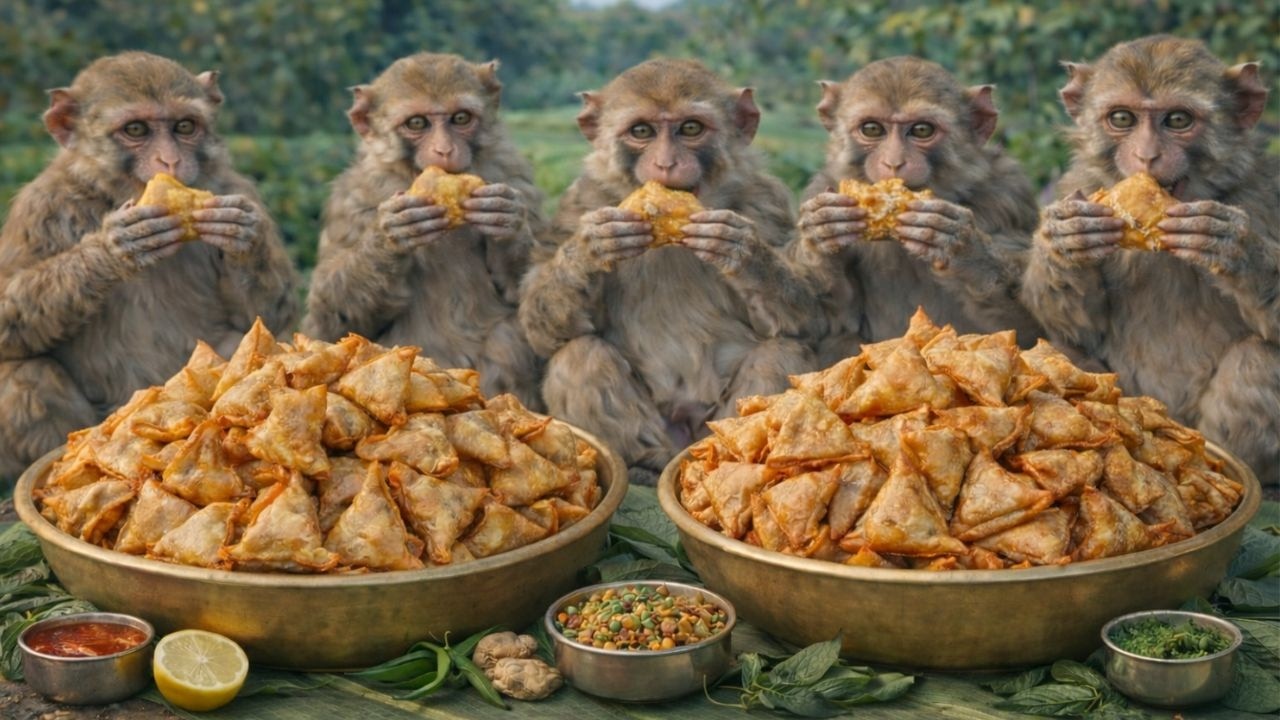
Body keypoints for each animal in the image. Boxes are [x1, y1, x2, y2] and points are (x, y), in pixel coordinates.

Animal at [0, 51, 299, 484]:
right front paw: (114, 248)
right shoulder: (43, 207)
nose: (169, 160)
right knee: (26, 374)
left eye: (184, 126)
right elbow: (7, 319)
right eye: (136, 129)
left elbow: (271, 316)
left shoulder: (239, 189)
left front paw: (244, 236)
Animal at [301, 53, 546, 410]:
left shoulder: (517, 181)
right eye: (417, 123)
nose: (444, 150)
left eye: (460, 118)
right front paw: (391, 236)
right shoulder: (354, 200)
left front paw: (507, 224)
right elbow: (327, 322)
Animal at [518, 58, 823, 485]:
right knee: (579, 355)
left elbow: (807, 319)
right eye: (642, 131)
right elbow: (541, 328)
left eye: (690, 128)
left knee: (782, 354)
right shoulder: (581, 201)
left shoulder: (766, 202)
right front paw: (591, 247)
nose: (666, 163)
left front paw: (741, 250)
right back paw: (643, 465)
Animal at [794, 56, 1046, 366]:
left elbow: (1034, 331)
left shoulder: (1007, 196)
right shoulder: (820, 188)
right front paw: (821, 238)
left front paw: (962, 250)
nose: (894, 162)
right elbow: (824, 325)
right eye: (872, 129)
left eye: (922, 130)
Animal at [1021, 35, 1279, 485]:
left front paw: (1231, 245)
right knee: (1061, 348)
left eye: (1177, 120)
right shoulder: (1077, 186)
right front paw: (1066, 239)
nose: (1146, 156)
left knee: (1258, 359)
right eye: (1122, 118)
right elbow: (1075, 326)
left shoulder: (1265, 198)